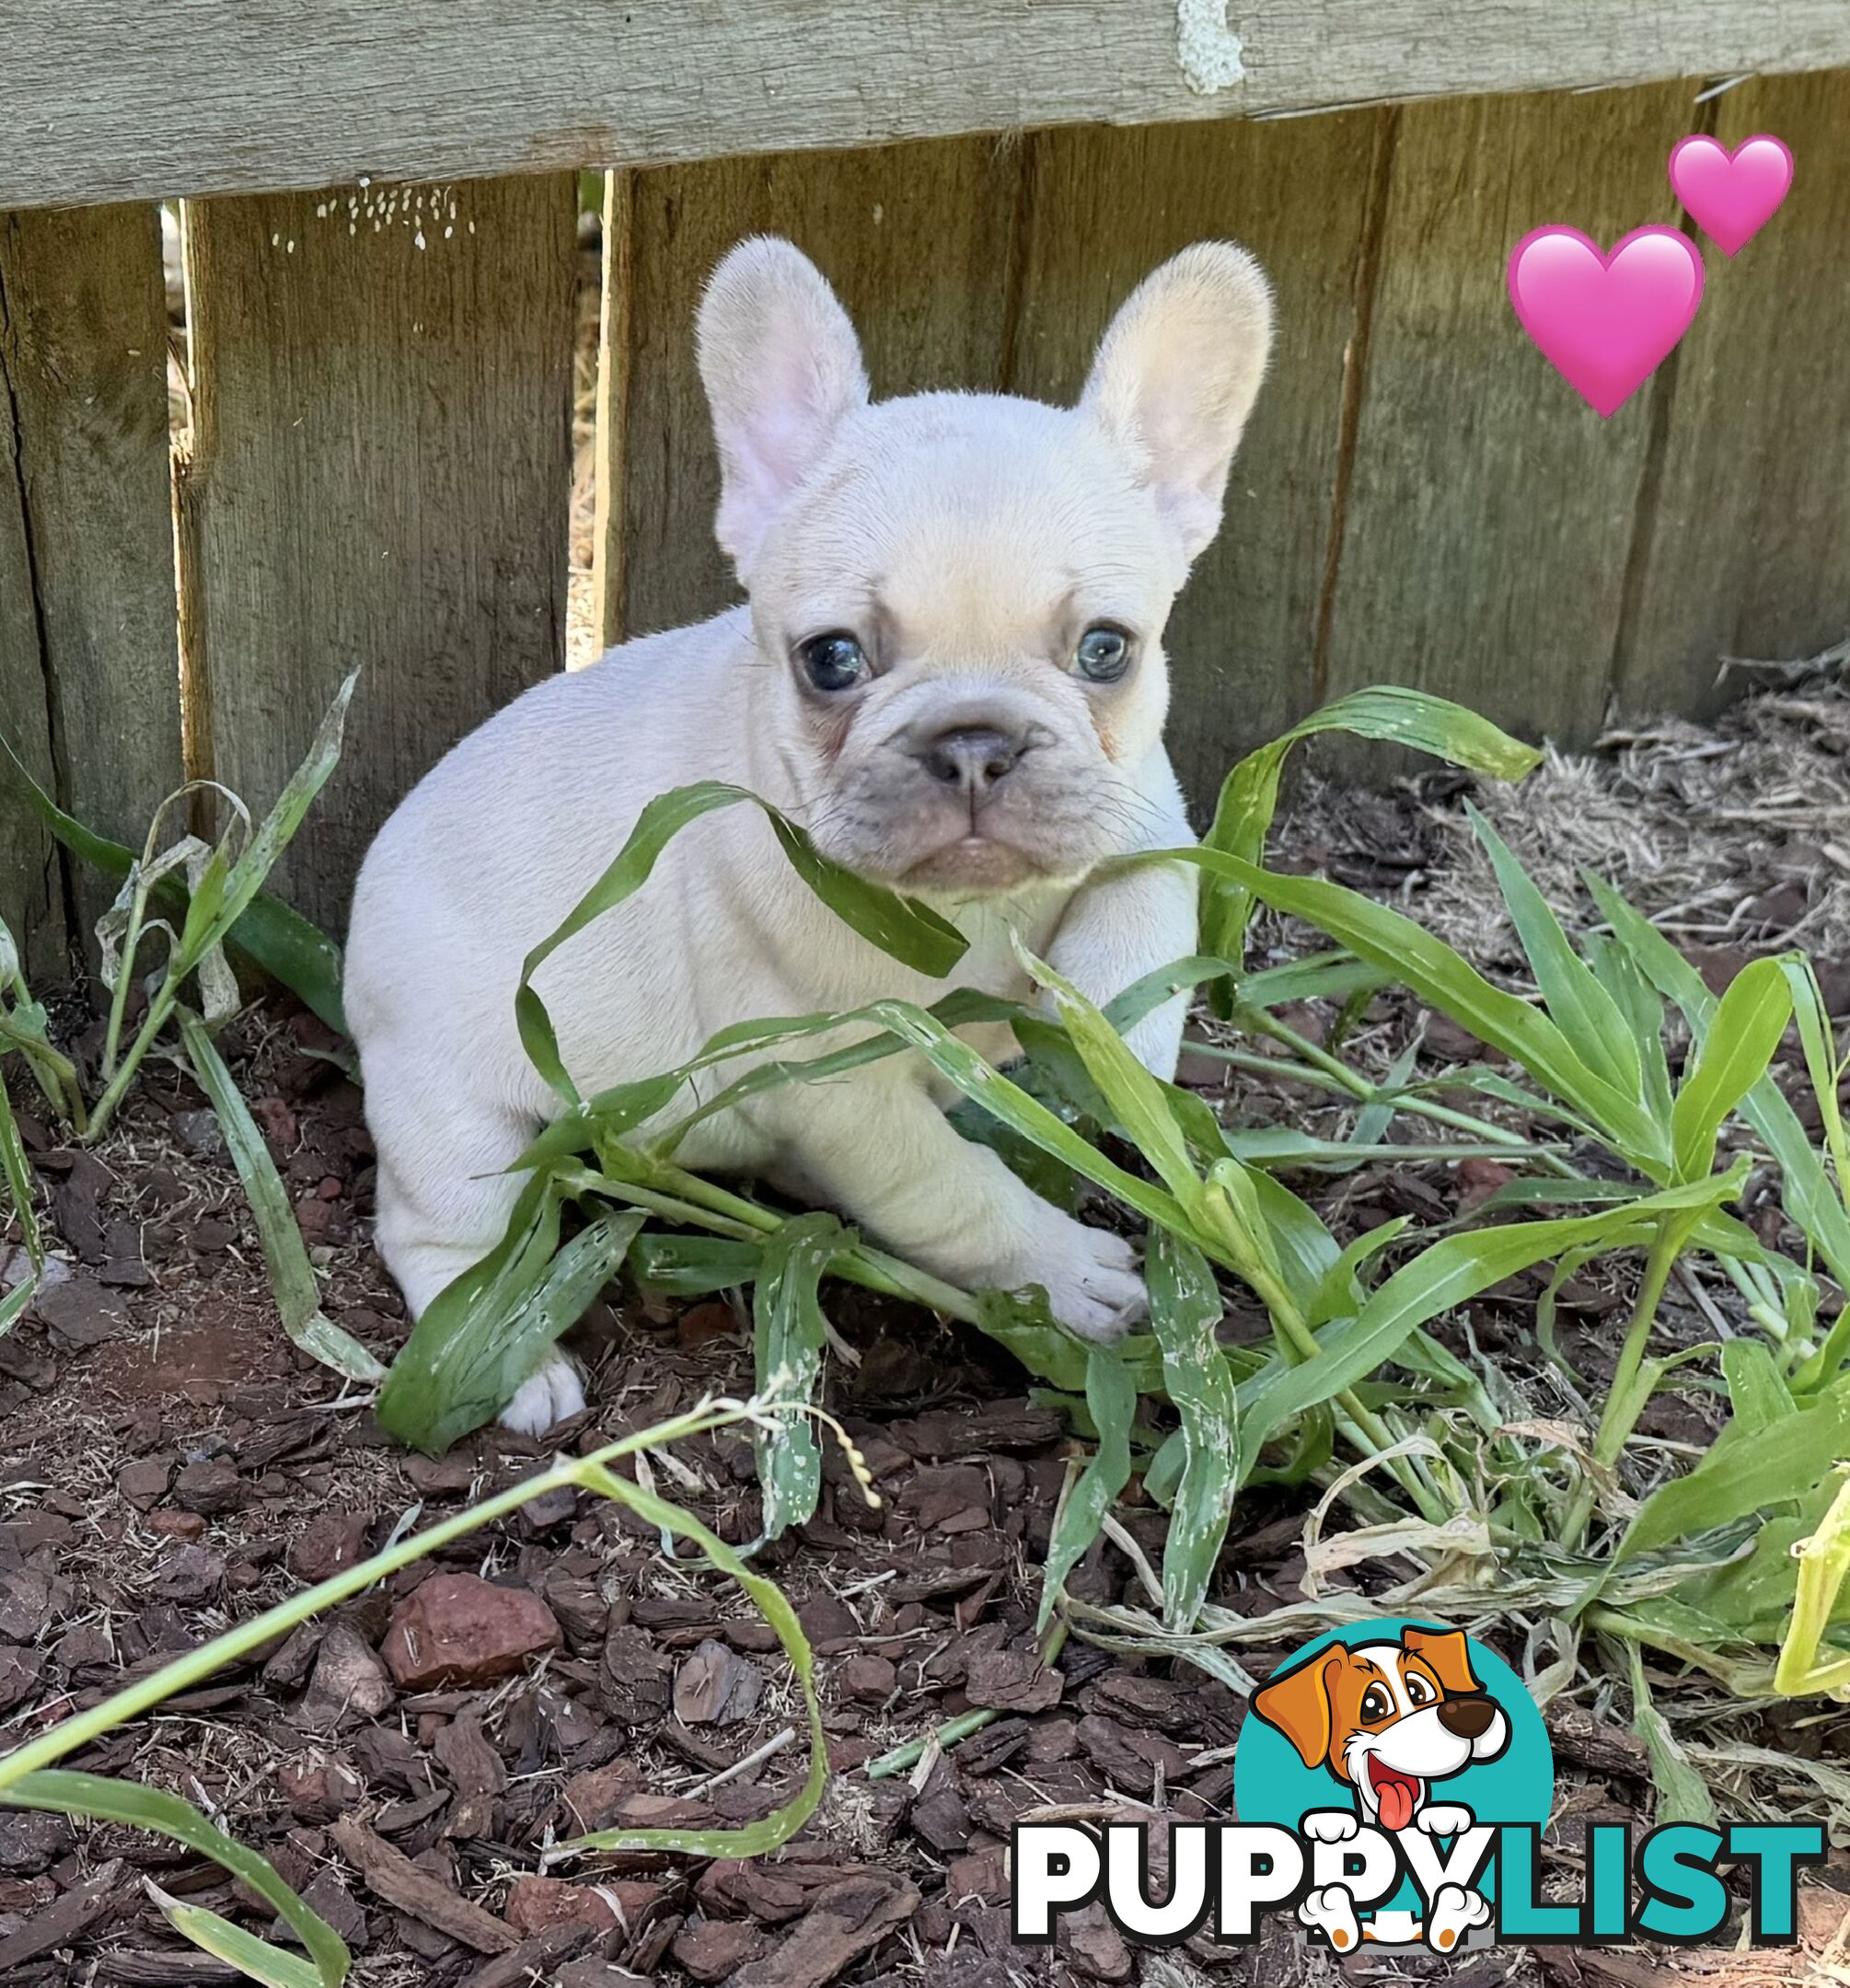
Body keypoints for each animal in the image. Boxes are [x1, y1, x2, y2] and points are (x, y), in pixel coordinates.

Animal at [343, 240, 1271, 1439]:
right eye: (832, 660)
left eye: (1107, 649)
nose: (975, 741)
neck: (972, 913)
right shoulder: (840, 1085)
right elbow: (949, 1186)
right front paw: (1064, 1269)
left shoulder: (1147, 807)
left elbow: (1141, 909)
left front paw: (1116, 1042)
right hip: (453, 1118)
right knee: (441, 1231)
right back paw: (507, 1360)